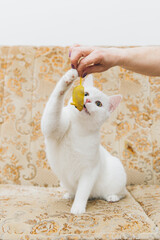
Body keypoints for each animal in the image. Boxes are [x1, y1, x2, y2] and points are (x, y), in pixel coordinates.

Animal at [41, 69, 126, 214]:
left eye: (98, 103)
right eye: (85, 93)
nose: (88, 99)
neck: (78, 129)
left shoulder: (89, 171)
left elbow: (82, 191)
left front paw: (78, 207)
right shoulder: (52, 127)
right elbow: (55, 103)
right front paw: (68, 78)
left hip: (118, 173)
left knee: (122, 193)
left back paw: (112, 197)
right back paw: (69, 194)